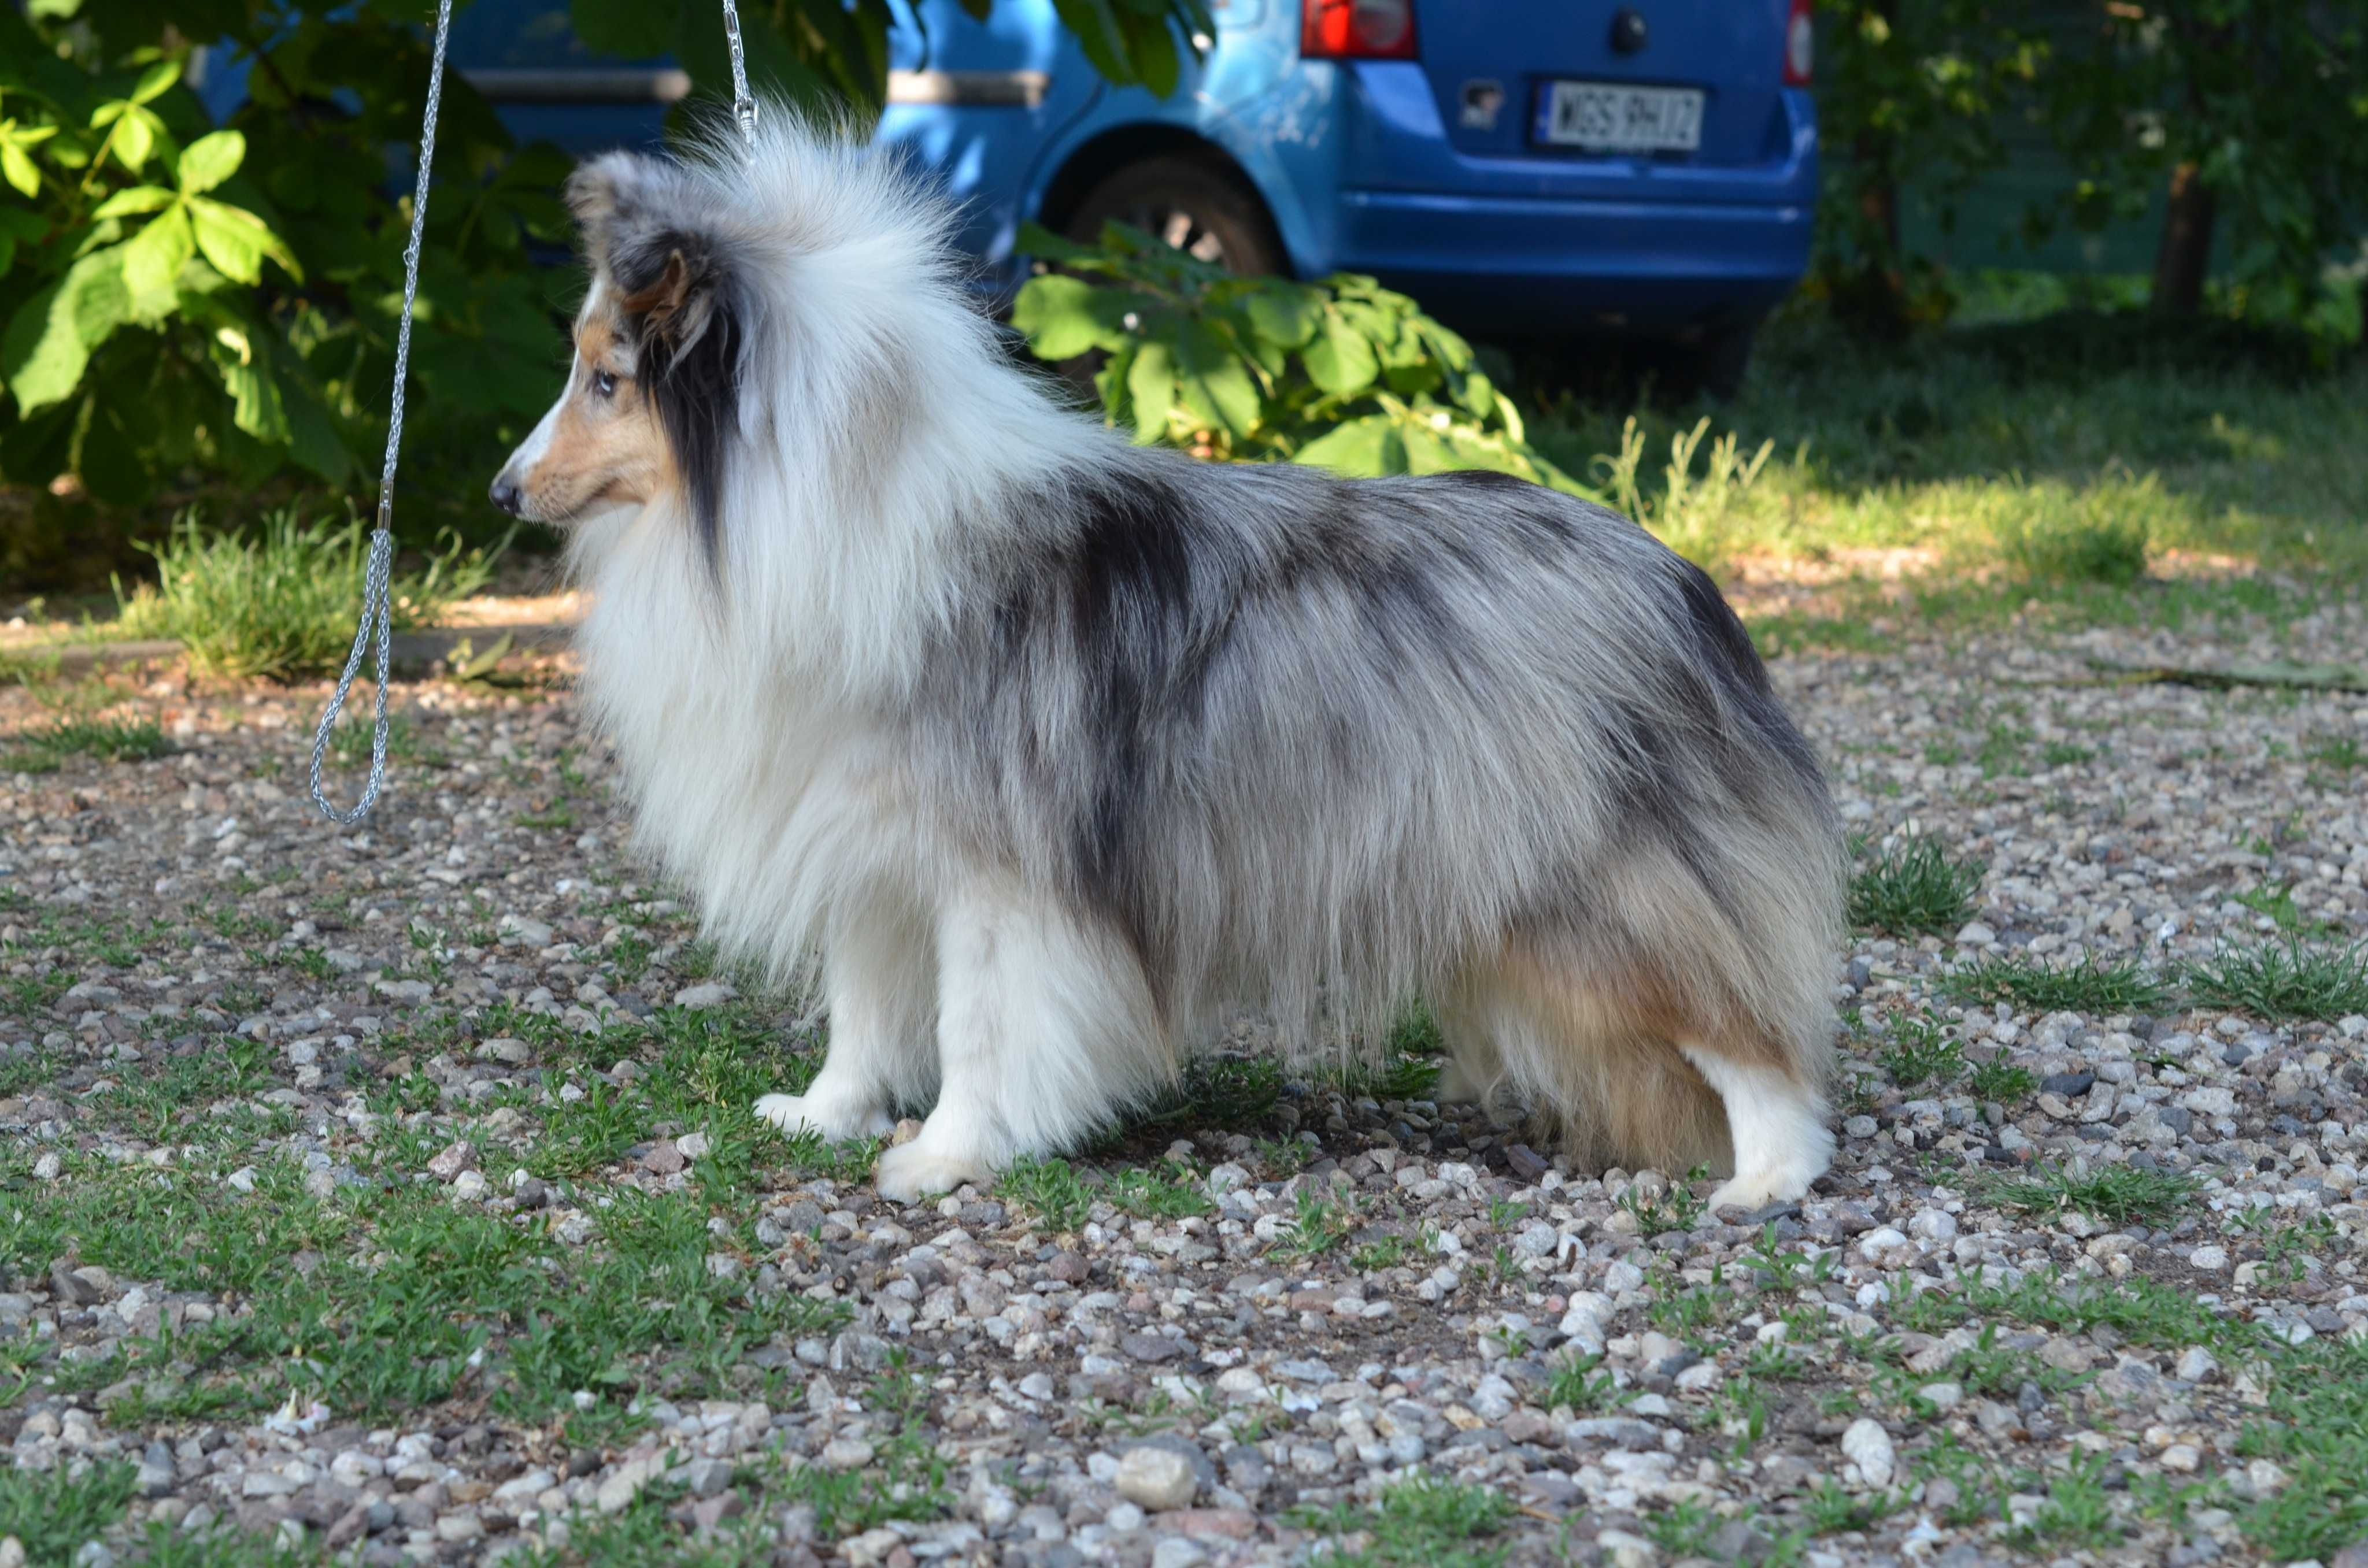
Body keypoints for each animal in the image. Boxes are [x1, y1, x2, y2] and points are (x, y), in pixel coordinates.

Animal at [485, 113, 1847, 1213]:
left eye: (605, 379)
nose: (501, 488)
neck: (811, 503)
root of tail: (1680, 586)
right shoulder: (872, 846)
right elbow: (862, 1007)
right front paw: (825, 1116)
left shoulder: (1001, 875)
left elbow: (981, 1027)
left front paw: (947, 1154)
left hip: (1608, 894)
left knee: (1754, 1041)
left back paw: (1765, 1183)